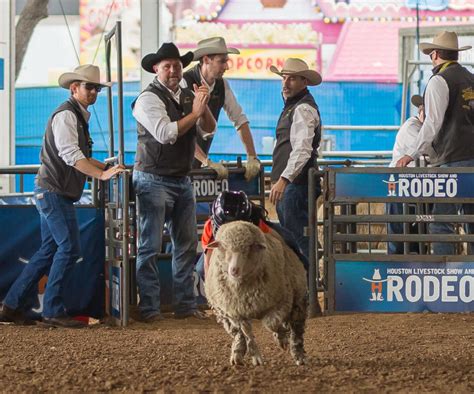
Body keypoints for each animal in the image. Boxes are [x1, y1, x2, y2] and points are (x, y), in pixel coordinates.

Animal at [206, 222, 310, 366]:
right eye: (224, 247)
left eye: (248, 248)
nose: (234, 270)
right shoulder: (238, 311)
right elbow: (247, 333)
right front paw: (256, 356)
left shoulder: (282, 303)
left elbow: (271, 324)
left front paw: (281, 338)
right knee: (236, 332)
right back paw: (237, 352)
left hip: (298, 298)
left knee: (296, 327)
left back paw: (298, 354)